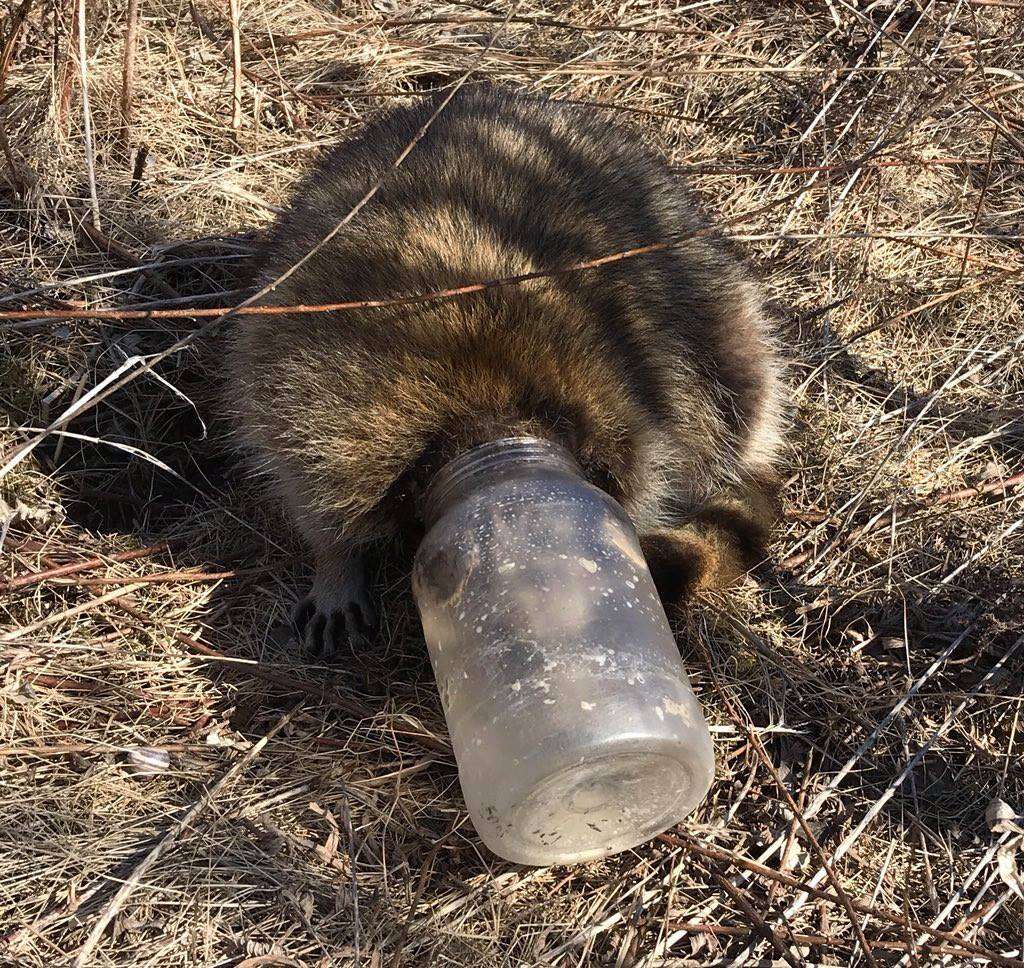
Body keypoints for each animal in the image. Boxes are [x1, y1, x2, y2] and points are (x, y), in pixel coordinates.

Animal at [226, 85, 782, 655]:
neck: (487, 408)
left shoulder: (639, 383)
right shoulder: (306, 368)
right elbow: (298, 469)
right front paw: (336, 558)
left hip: (714, 304)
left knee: (740, 378)